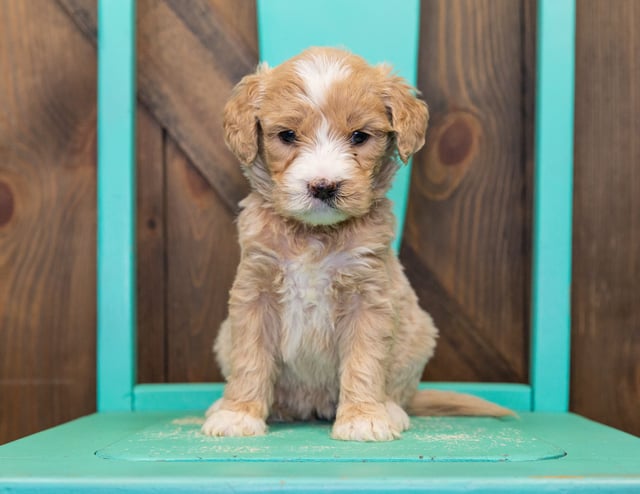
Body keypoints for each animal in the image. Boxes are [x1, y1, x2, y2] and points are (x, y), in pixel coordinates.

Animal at [200, 48, 510, 442]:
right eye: (287, 135)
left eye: (359, 136)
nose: (323, 186)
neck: (315, 236)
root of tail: (313, 405)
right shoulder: (255, 292)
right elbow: (250, 359)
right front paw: (238, 414)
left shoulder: (369, 295)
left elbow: (364, 361)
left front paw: (363, 417)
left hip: (419, 336)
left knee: (399, 391)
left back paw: (390, 409)